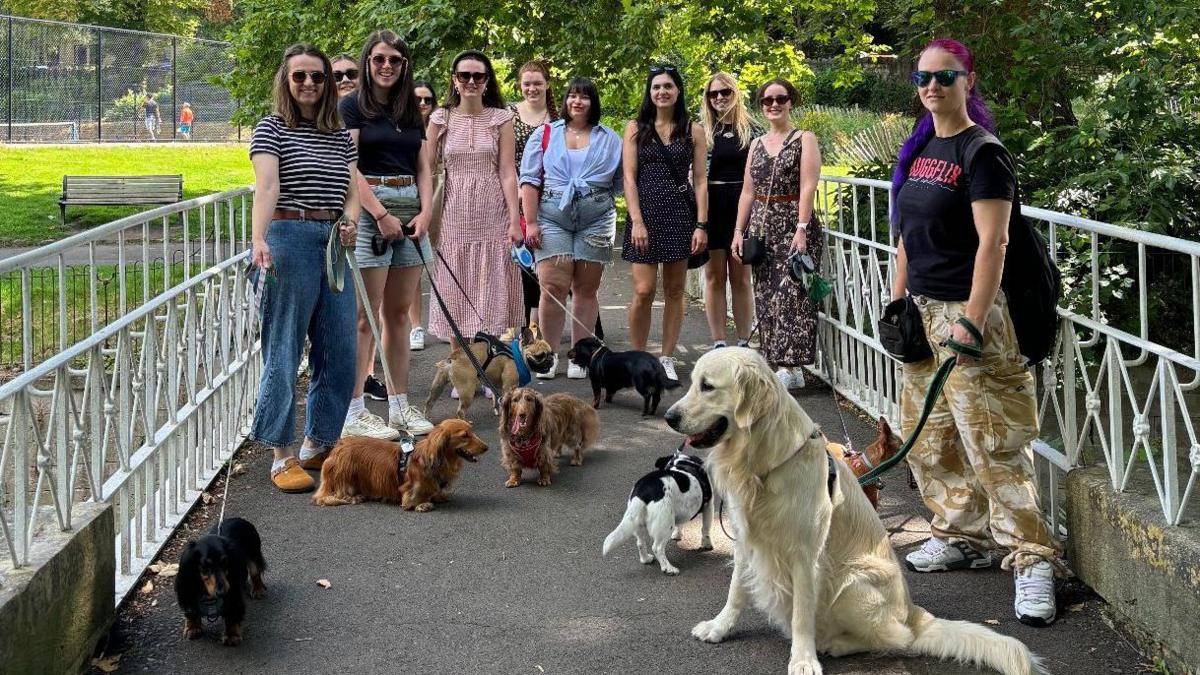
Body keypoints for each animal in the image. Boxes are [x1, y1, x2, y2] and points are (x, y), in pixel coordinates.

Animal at [316, 415, 494, 509]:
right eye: (464, 435)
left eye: (472, 431)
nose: (486, 447)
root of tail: (337, 447)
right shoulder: (411, 490)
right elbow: (414, 499)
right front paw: (422, 504)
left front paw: (439, 496)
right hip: (344, 474)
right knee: (329, 495)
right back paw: (352, 497)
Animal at [424, 321, 554, 420]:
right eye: (540, 356)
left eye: (551, 353)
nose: (551, 360)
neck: (519, 355)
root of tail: (453, 357)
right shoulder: (509, 387)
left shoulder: (497, 386)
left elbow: (496, 399)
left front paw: (497, 410)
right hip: (467, 390)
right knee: (460, 411)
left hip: (438, 384)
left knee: (429, 401)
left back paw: (427, 418)